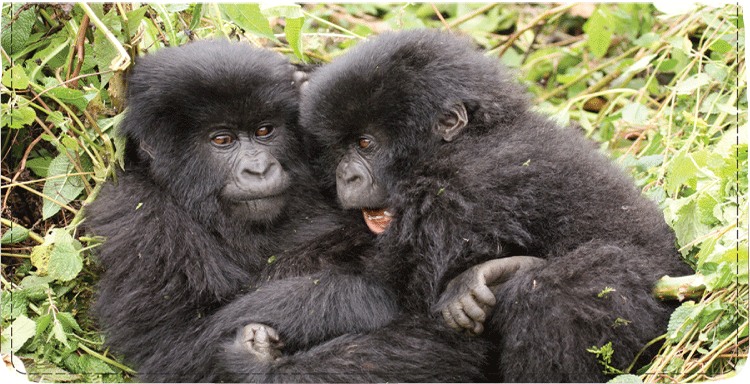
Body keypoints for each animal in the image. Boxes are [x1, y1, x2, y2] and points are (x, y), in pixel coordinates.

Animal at [298, 30, 692, 384]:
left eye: (366, 143)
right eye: (339, 148)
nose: (345, 177)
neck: (473, 134)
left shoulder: (454, 190)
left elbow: (401, 308)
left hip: (656, 302)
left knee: (556, 294)